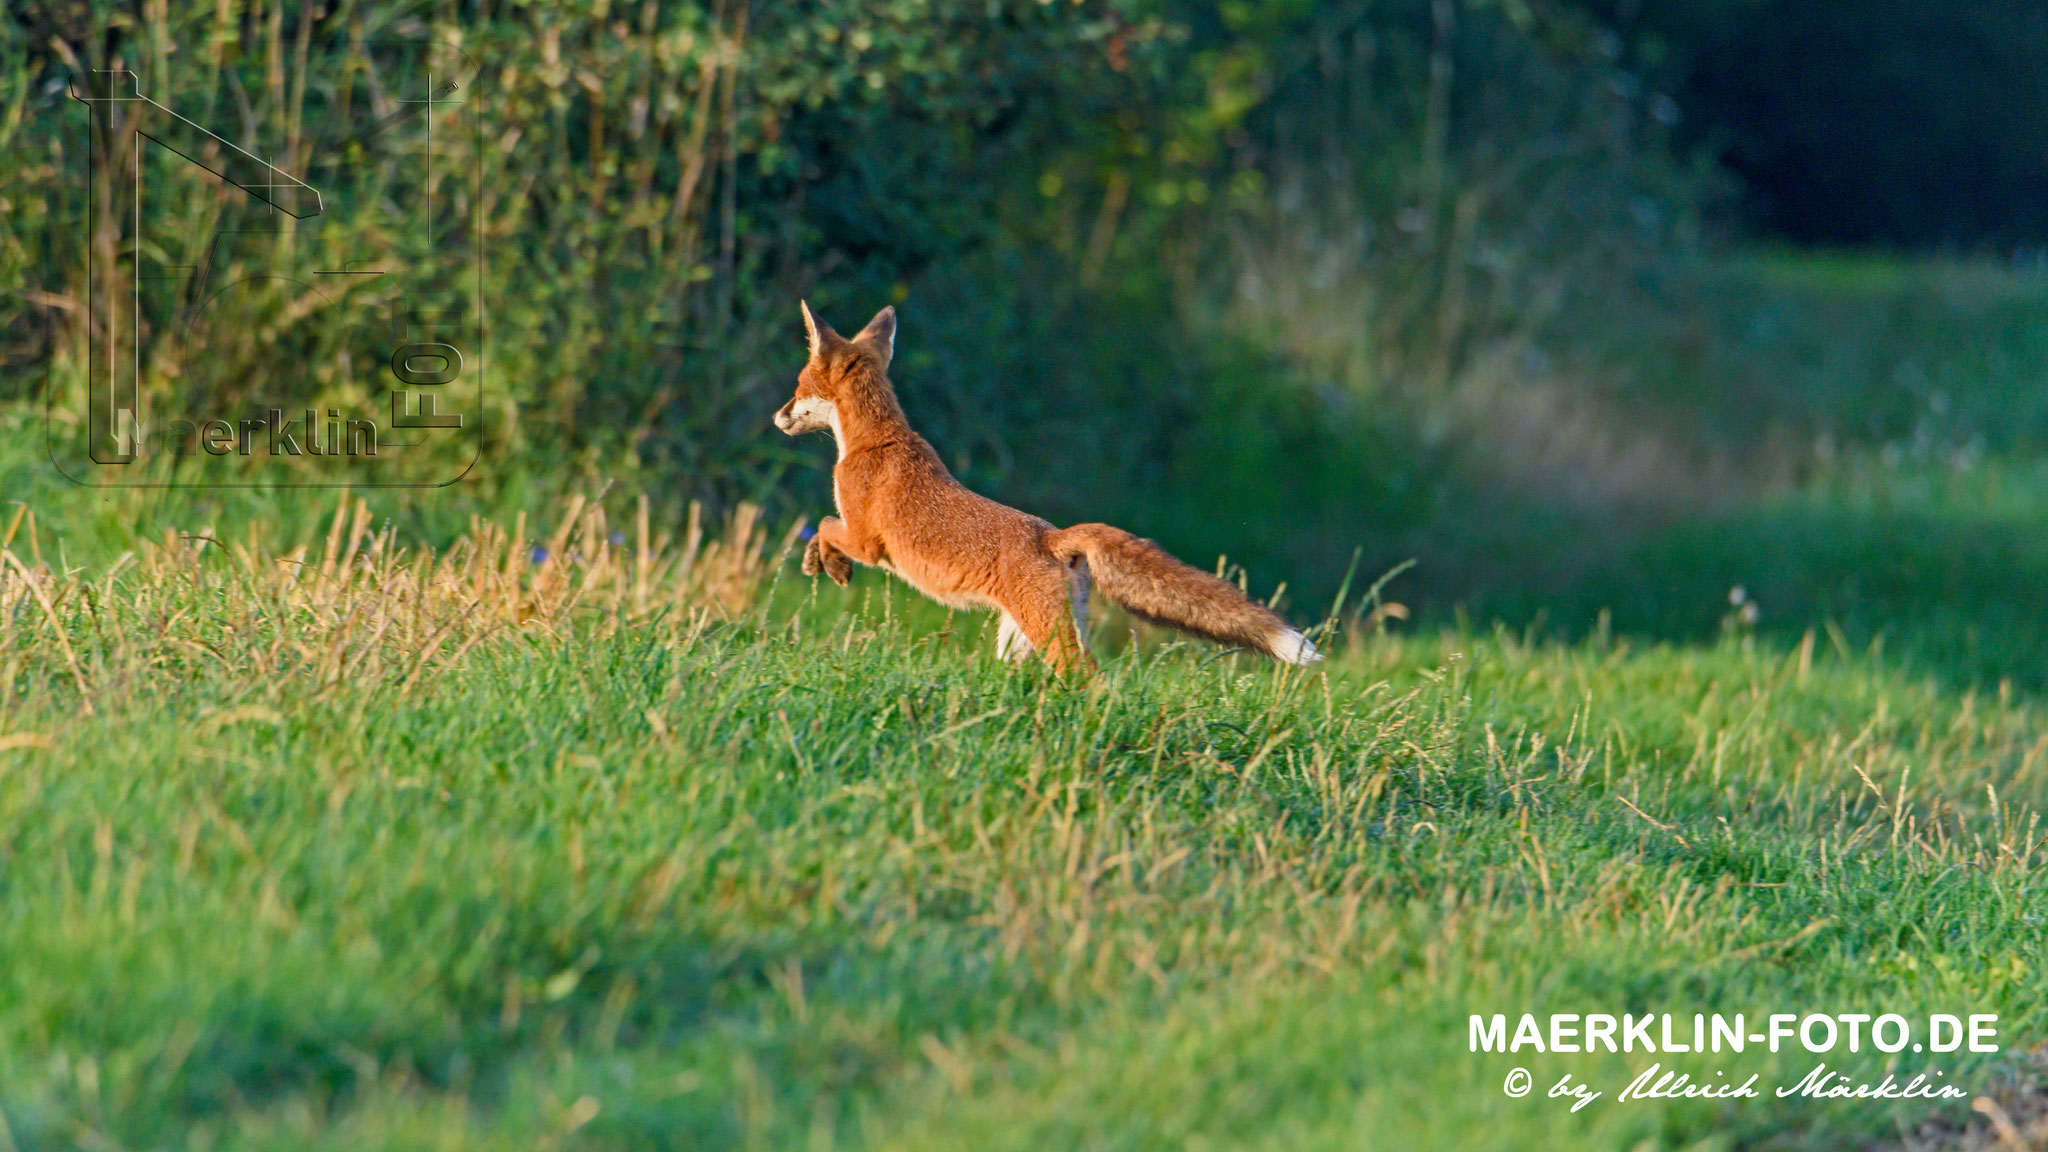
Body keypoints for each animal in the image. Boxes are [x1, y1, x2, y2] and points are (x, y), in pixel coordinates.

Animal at [770, 301, 1327, 668]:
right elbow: (822, 526)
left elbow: (825, 523)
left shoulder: (868, 540)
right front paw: (818, 561)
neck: (875, 442)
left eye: (796, 388)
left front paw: (827, 565)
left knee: (1089, 679)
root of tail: (1055, 535)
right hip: (1020, 640)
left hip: (1047, 637)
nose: (776, 418)